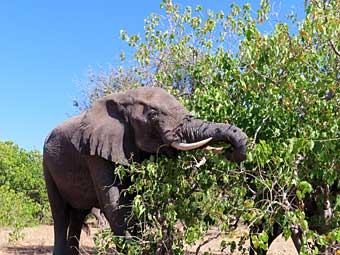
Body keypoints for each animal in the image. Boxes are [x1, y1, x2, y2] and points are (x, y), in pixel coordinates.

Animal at [43, 86, 248, 254]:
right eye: (153, 115)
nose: (229, 151)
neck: (123, 98)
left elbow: (133, 201)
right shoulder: (93, 153)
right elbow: (114, 203)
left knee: (78, 215)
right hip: (47, 166)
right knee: (60, 215)